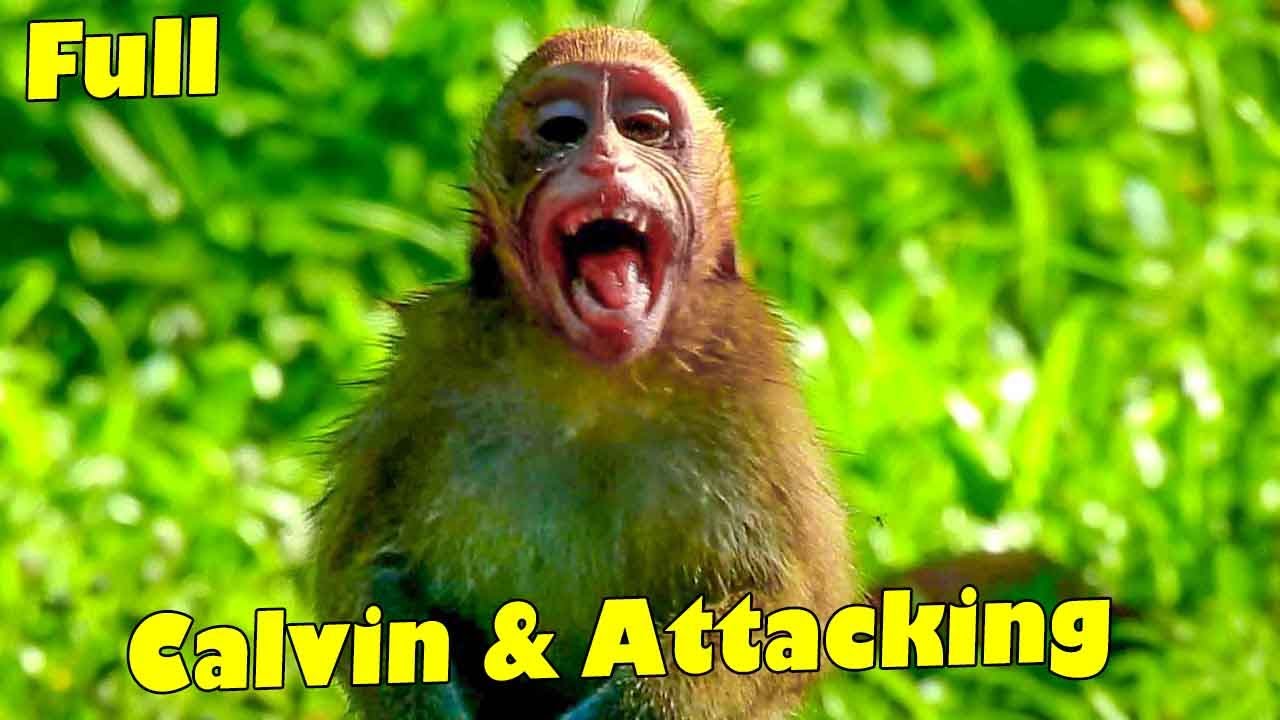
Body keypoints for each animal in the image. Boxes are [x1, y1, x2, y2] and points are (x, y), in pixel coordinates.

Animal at [311, 26, 854, 720]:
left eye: (643, 127)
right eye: (563, 130)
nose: (602, 158)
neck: (596, 379)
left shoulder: (750, 377)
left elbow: (789, 601)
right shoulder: (431, 363)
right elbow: (360, 572)